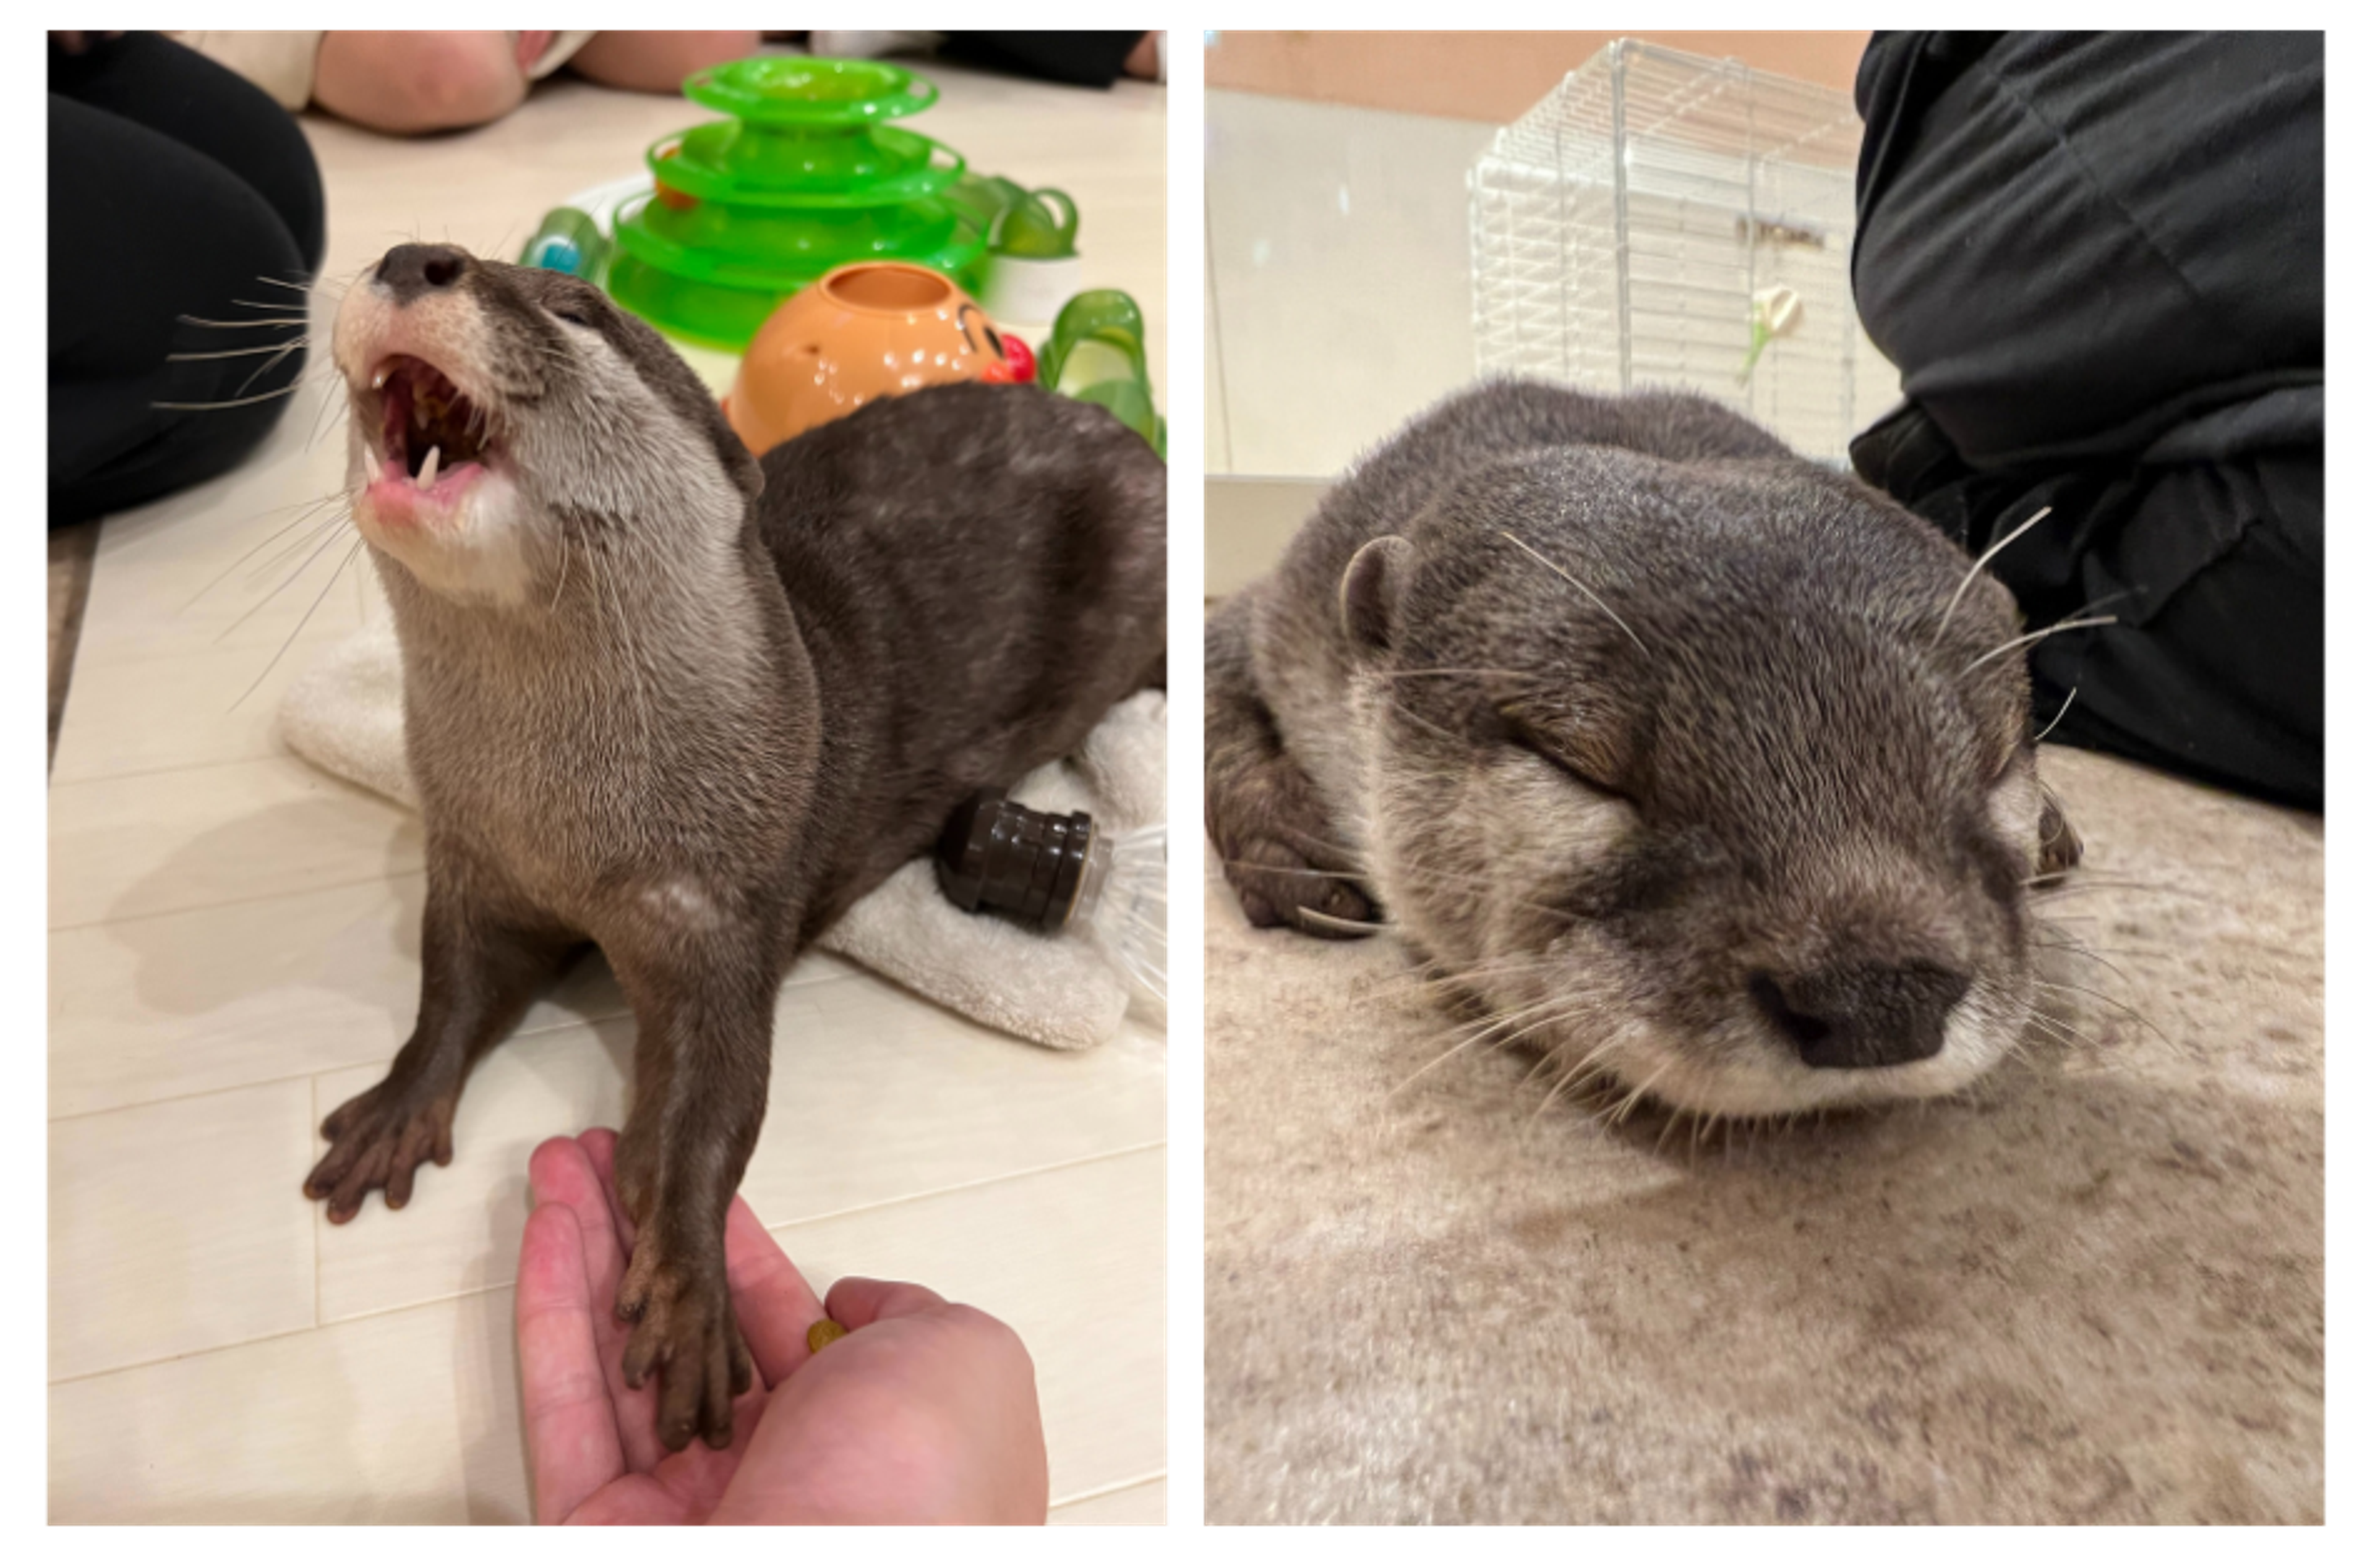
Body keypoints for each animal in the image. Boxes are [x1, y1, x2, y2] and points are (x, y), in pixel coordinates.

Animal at [304, 244, 1168, 1451]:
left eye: (580, 310)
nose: (412, 257)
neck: (577, 823)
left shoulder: (728, 910)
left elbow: (719, 1104)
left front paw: (684, 1286)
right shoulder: (476, 857)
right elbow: (453, 983)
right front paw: (398, 1103)